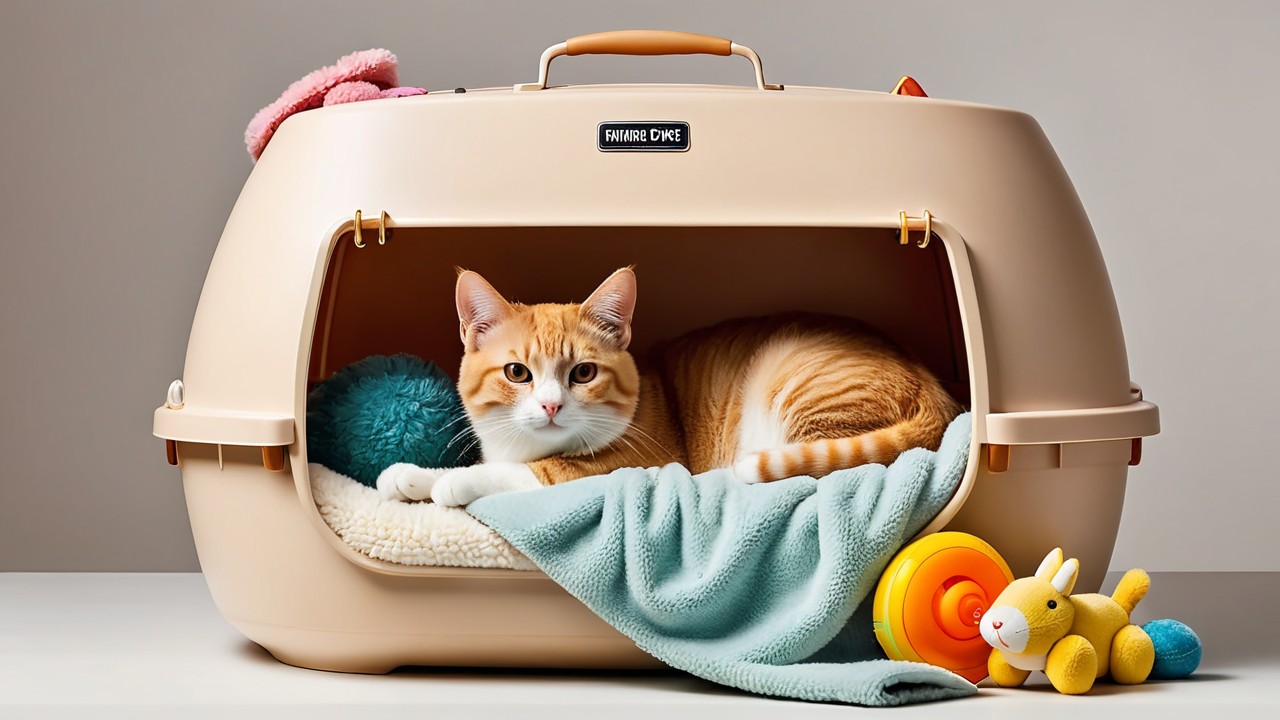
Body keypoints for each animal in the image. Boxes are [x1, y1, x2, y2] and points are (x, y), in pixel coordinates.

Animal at [373, 267, 957, 504]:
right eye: (518, 373)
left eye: (582, 373)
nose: (552, 405)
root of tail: (936, 389)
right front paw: (413, 476)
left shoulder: (634, 464)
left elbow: (533, 473)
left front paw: (453, 483)